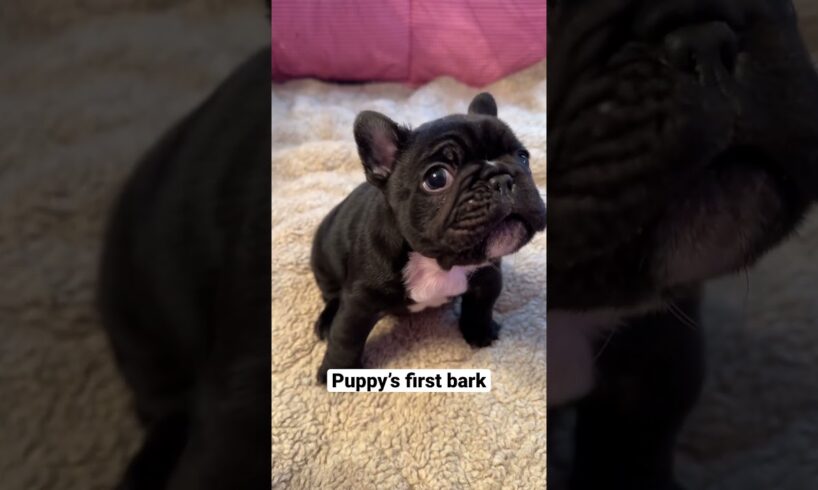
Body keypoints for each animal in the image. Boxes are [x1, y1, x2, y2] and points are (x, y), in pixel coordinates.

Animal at [310, 93, 544, 382]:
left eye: (523, 157)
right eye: (436, 178)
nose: (502, 177)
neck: (437, 261)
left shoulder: (488, 275)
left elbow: (481, 307)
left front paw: (480, 333)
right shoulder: (358, 303)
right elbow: (346, 339)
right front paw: (336, 372)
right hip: (324, 260)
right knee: (331, 295)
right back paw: (326, 321)